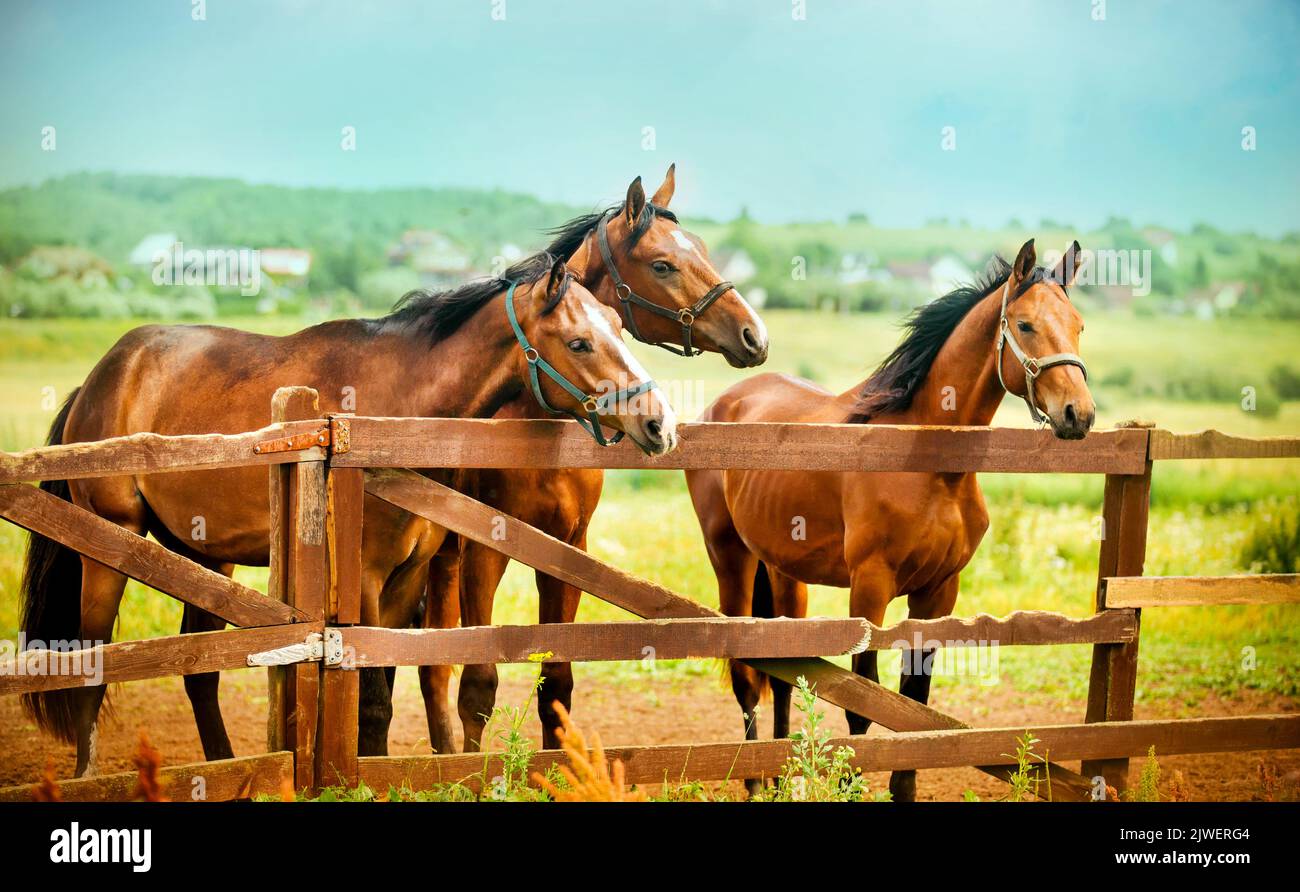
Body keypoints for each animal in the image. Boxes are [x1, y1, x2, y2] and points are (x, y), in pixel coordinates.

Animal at [22, 257, 681, 774]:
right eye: (579, 342)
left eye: (618, 326)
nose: (657, 422)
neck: (394, 408)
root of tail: (103, 375)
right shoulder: (364, 578)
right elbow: (373, 697)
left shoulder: (407, 579)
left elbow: (385, 685)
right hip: (111, 547)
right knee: (93, 663)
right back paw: (87, 774)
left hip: (202, 558)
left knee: (200, 674)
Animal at [413, 167, 769, 754]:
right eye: (663, 264)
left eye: (701, 248)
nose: (754, 336)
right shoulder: (482, 552)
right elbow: (478, 683)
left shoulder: (568, 550)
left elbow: (556, 684)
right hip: (442, 560)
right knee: (432, 667)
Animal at [686, 239, 1092, 806]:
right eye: (1027, 325)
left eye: (1078, 325)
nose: (1079, 413)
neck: (930, 465)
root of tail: (723, 404)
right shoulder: (871, 588)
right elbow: (864, 699)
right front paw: (851, 783)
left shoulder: (938, 593)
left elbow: (913, 701)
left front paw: (901, 787)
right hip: (731, 559)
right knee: (747, 674)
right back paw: (754, 783)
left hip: (785, 573)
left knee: (783, 672)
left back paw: (785, 779)